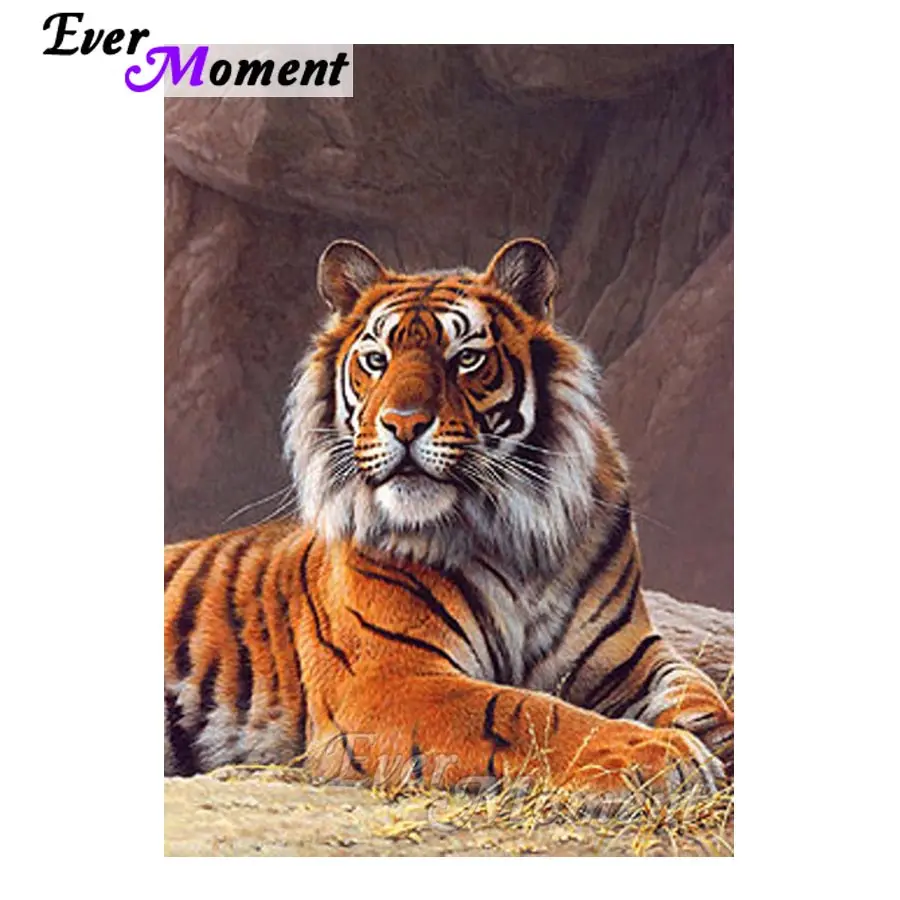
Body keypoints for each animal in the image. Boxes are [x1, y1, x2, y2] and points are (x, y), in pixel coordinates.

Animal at [164, 237, 734, 800]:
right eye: (376, 360)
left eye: (466, 359)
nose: (403, 424)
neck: (514, 532)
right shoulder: (389, 680)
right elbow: (524, 711)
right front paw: (659, 754)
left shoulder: (625, 653)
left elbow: (697, 692)